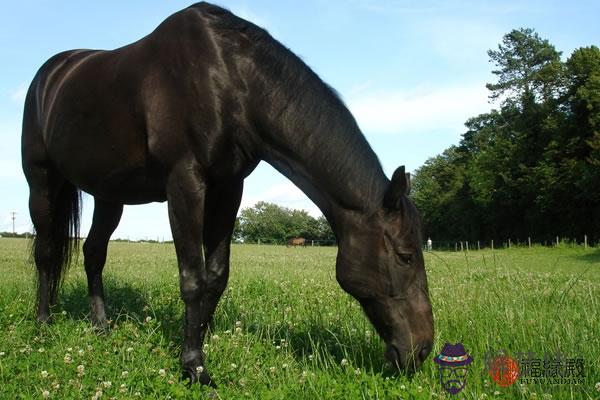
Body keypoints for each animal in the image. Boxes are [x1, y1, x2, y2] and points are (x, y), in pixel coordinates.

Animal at [22, 1, 432, 386]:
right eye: (406, 256)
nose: (423, 349)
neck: (229, 82)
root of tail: (52, 73)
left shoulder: (228, 188)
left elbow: (216, 277)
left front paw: (197, 348)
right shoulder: (185, 182)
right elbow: (193, 279)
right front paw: (195, 368)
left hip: (110, 194)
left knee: (94, 253)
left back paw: (101, 326)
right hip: (41, 182)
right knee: (46, 252)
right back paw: (42, 323)